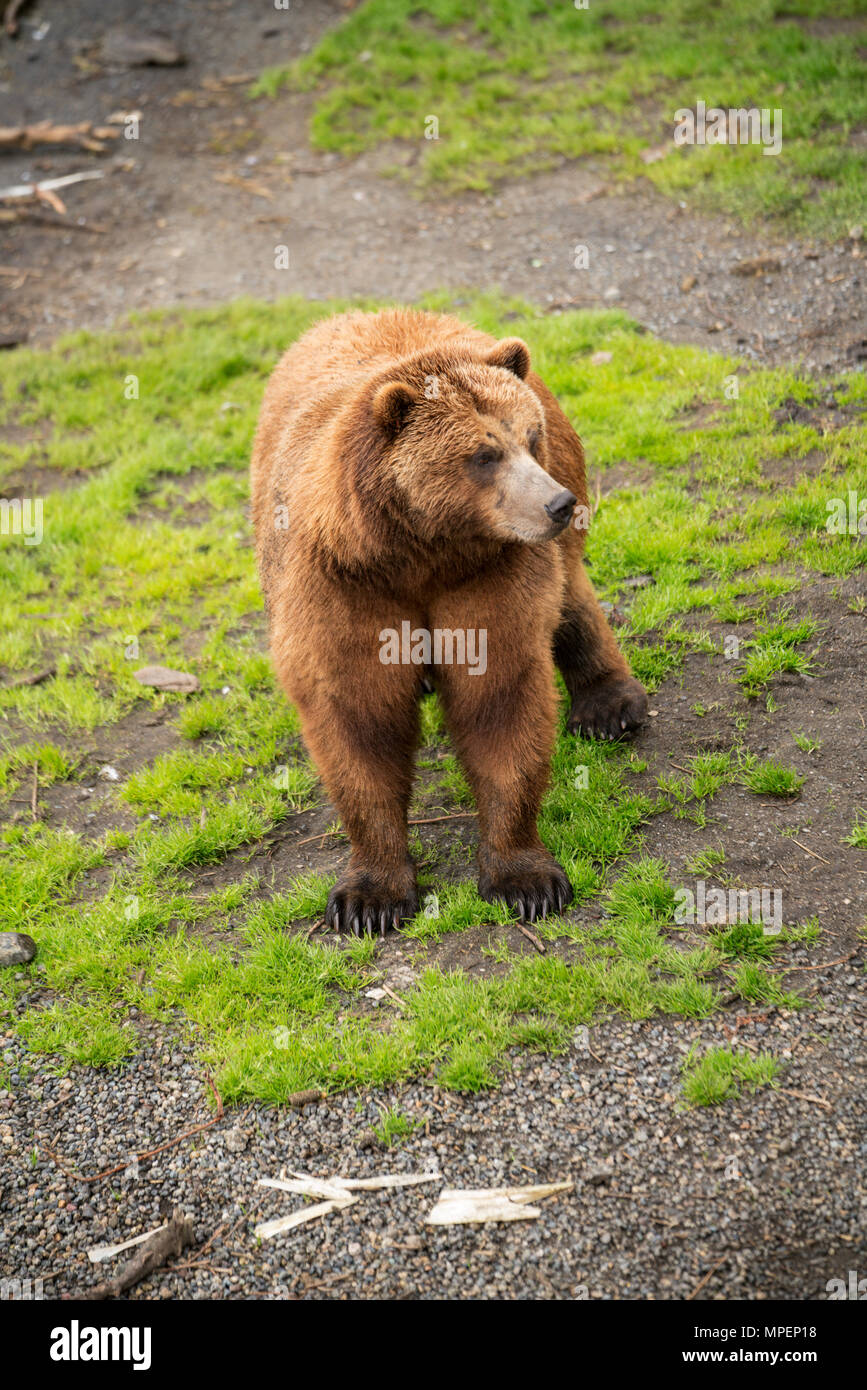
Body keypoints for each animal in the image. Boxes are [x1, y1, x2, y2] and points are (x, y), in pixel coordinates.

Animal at [248, 305, 644, 934]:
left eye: (529, 437)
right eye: (484, 454)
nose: (556, 504)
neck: (419, 552)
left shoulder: (488, 574)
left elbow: (500, 697)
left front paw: (526, 881)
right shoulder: (340, 583)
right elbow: (358, 714)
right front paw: (370, 899)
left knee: (571, 596)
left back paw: (609, 707)